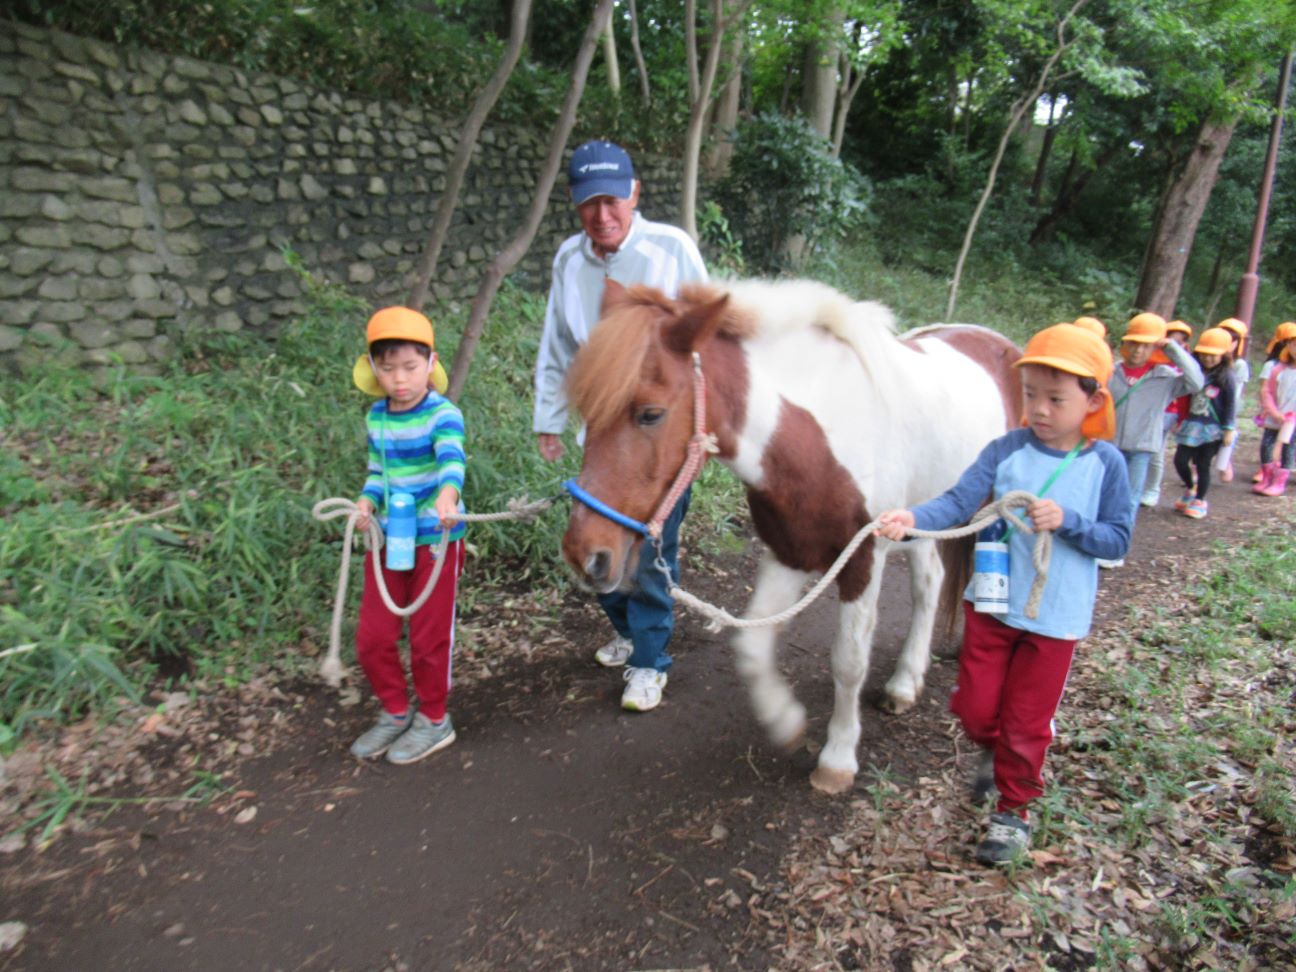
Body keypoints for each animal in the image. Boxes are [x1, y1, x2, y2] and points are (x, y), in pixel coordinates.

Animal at [562, 276, 1016, 793]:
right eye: (587, 413)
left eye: (651, 414)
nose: (583, 554)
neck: (817, 436)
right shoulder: (789, 552)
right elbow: (752, 647)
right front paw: (785, 721)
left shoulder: (863, 559)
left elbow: (849, 661)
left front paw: (837, 759)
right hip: (925, 519)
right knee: (929, 585)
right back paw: (904, 684)